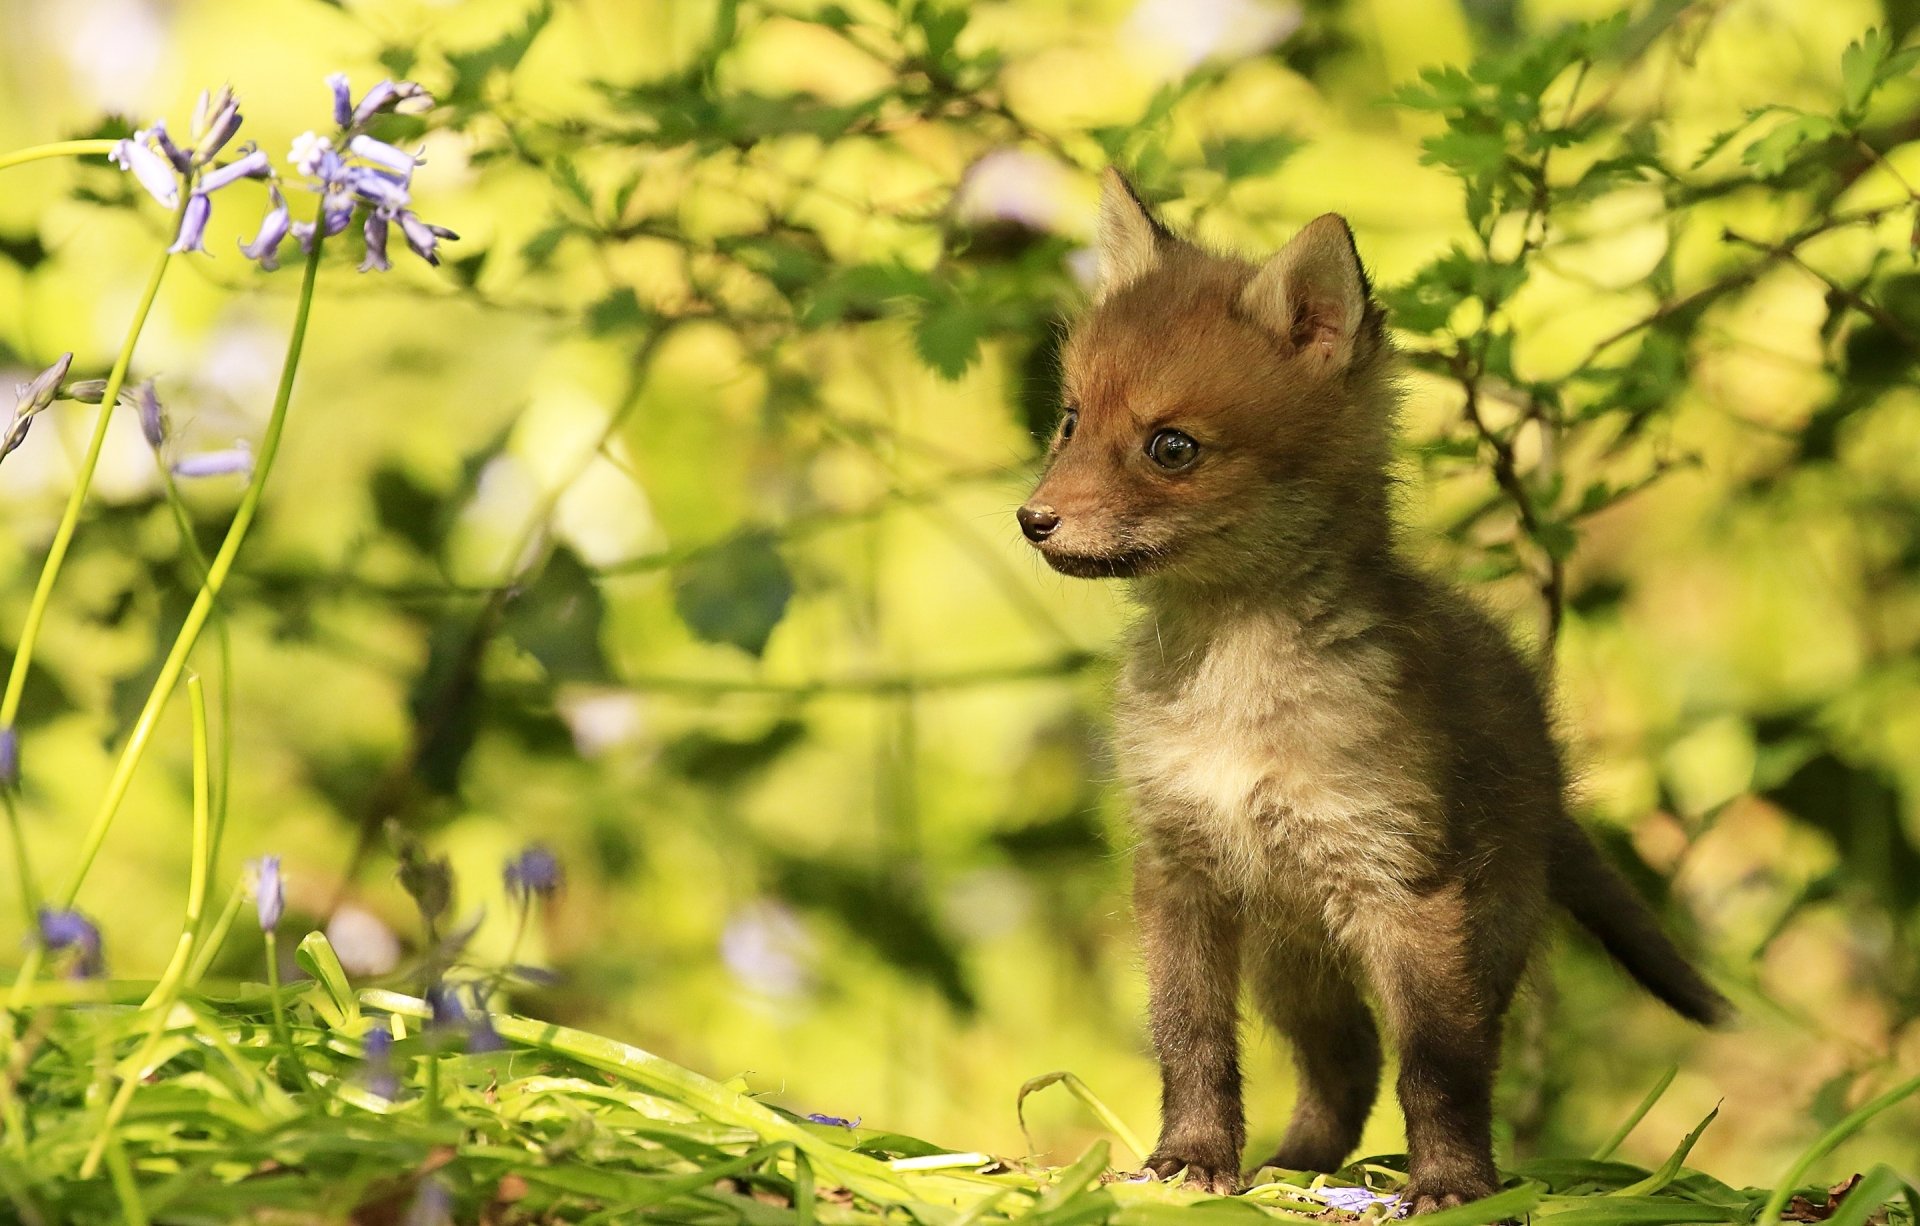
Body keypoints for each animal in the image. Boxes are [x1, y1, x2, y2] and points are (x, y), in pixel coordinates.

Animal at [1016, 169, 1728, 1212]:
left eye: (1172, 448)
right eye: (1071, 421)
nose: (1033, 519)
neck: (1238, 695)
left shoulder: (1405, 888)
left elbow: (1439, 1067)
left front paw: (1454, 1185)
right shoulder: (1180, 869)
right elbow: (1190, 1042)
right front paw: (1190, 1161)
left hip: (1474, 934)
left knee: (1416, 1053)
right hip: (1293, 963)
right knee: (1344, 1062)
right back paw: (1297, 1166)